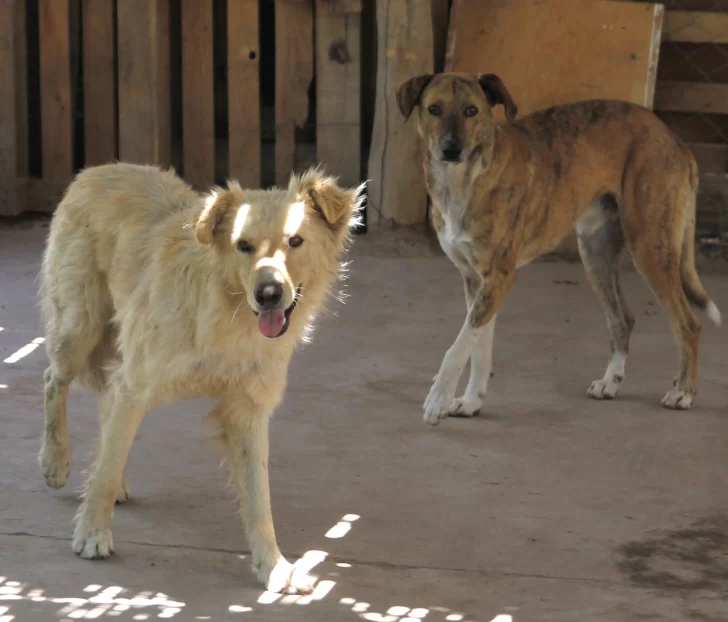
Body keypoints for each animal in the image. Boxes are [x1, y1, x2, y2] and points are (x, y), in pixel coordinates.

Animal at [400, 70, 720, 426]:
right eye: (434, 109)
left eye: (472, 111)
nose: (451, 149)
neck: (463, 179)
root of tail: (675, 139)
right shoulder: (476, 281)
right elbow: (479, 346)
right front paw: (471, 402)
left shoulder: (498, 277)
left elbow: (458, 347)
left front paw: (437, 398)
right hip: (595, 254)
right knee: (623, 319)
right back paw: (611, 382)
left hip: (651, 248)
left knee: (688, 324)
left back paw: (683, 392)